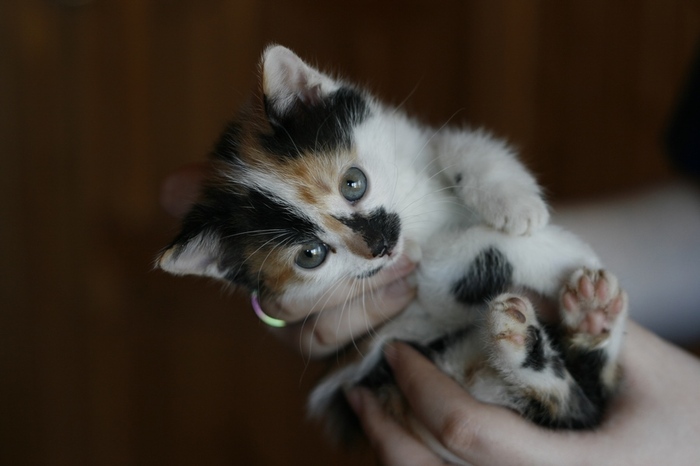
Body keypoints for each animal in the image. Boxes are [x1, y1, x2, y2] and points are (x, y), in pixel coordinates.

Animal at [160, 46, 628, 462]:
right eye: (311, 255)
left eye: (353, 183)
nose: (379, 244)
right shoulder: (423, 287)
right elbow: (462, 258)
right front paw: (550, 248)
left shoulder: (412, 142)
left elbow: (455, 145)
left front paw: (515, 203)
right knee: (570, 403)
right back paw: (568, 323)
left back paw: (591, 311)